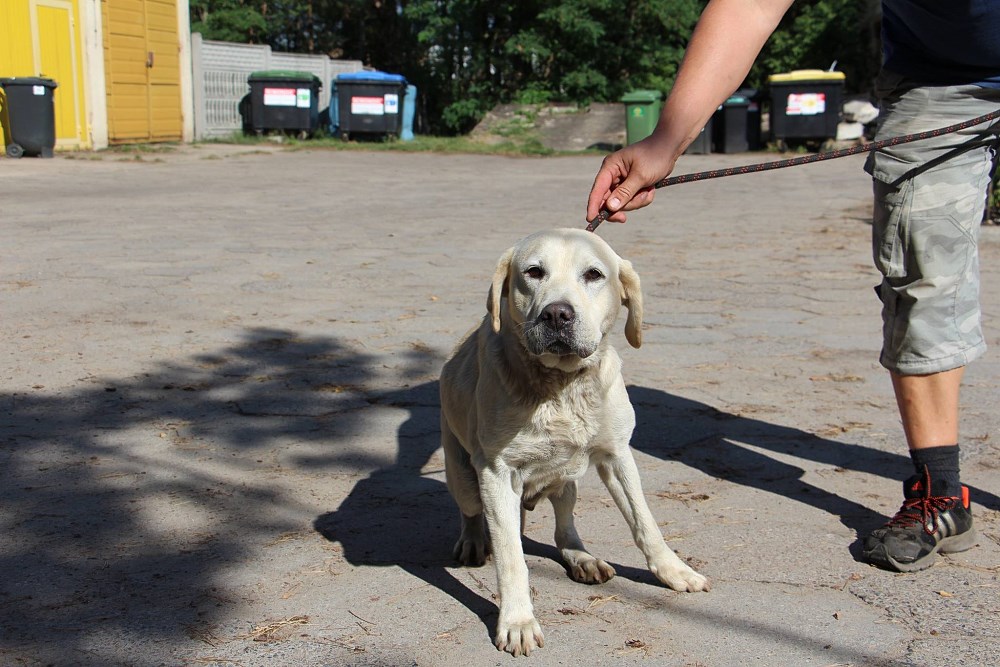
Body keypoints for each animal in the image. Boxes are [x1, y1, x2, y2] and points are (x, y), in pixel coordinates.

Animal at [439, 228, 709, 656]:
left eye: (594, 274)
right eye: (533, 272)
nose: (556, 314)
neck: (562, 387)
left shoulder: (617, 455)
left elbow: (645, 522)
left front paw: (673, 571)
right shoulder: (497, 473)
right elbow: (511, 557)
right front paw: (517, 621)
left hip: (567, 482)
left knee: (563, 528)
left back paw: (582, 558)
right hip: (464, 476)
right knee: (472, 513)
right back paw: (473, 540)